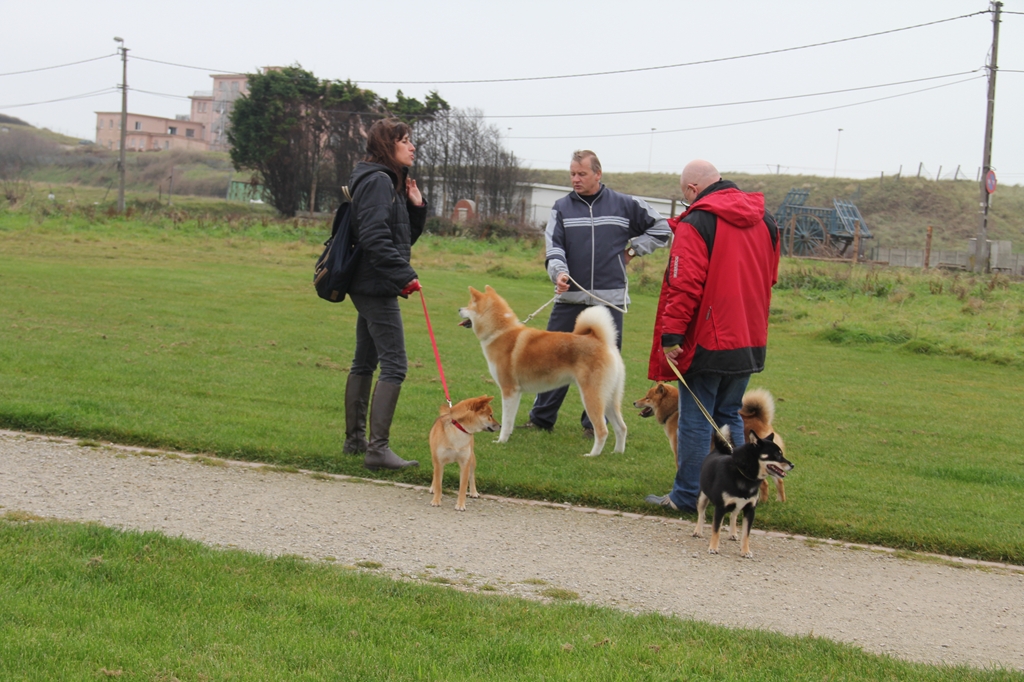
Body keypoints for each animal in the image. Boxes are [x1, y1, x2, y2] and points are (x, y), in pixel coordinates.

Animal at [462, 284, 622, 454]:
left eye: (469, 305)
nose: (459, 309)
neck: (500, 332)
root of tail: (603, 342)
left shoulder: (508, 390)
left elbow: (505, 421)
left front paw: (501, 441)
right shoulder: (516, 393)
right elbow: (510, 420)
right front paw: (507, 438)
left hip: (591, 396)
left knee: (602, 430)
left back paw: (592, 455)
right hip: (610, 398)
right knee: (621, 428)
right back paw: (617, 453)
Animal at [692, 428, 794, 557]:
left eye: (781, 453)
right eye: (776, 454)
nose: (792, 465)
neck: (744, 475)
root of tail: (717, 450)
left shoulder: (750, 510)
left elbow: (746, 534)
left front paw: (745, 551)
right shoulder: (720, 508)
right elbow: (716, 530)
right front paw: (713, 548)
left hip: (737, 505)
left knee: (733, 516)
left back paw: (732, 533)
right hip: (702, 497)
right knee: (702, 514)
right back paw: (697, 531)